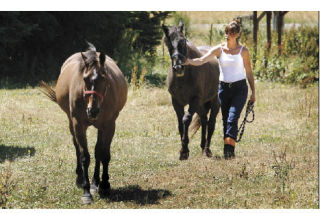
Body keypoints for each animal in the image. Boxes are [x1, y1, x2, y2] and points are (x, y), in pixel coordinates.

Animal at [38, 42, 126, 204]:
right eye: (85, 79)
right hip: (71, 121)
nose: (93, 111)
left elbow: (104, 154)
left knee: (98, 151)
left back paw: (95, 182)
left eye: (104, 78)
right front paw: (86, 191)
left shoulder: (109, 125)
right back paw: (80, 179)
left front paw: (104, 185)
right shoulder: (78, 124)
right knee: (77, 147)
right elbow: (84, 155)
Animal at [162, 21, 220, 160]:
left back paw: (207, 150)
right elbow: (180, 124)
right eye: (167, 43)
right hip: (200, 105)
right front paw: (184, 150)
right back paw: (202, 146)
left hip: (214, 102)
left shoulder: (194, 100)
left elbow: (186, 119)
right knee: (204, 119)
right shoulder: (176, 102)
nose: (178, 67)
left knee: (211, 123)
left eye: (183, 41)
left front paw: (184, 150)